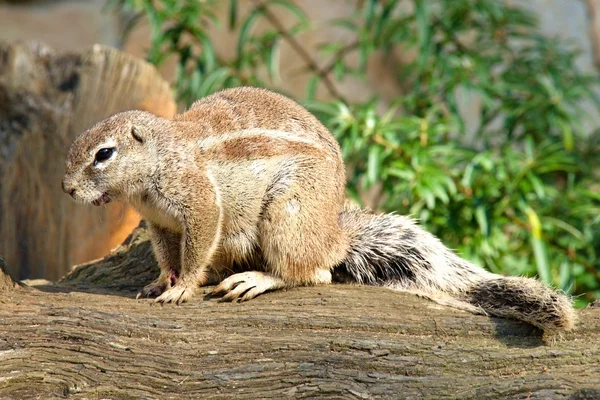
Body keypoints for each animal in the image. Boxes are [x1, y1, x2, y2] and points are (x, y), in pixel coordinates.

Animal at [62, 86, 576, 332]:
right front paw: (159, 282)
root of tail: (335, 236)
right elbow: (168, 256)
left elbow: (195, 248)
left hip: (286, 216)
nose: (66, 189)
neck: (159, 161)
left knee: (315, 273)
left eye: (103, 154)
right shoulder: (159, 223)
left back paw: (256, 279)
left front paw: (182, 288)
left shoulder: (200, 205)